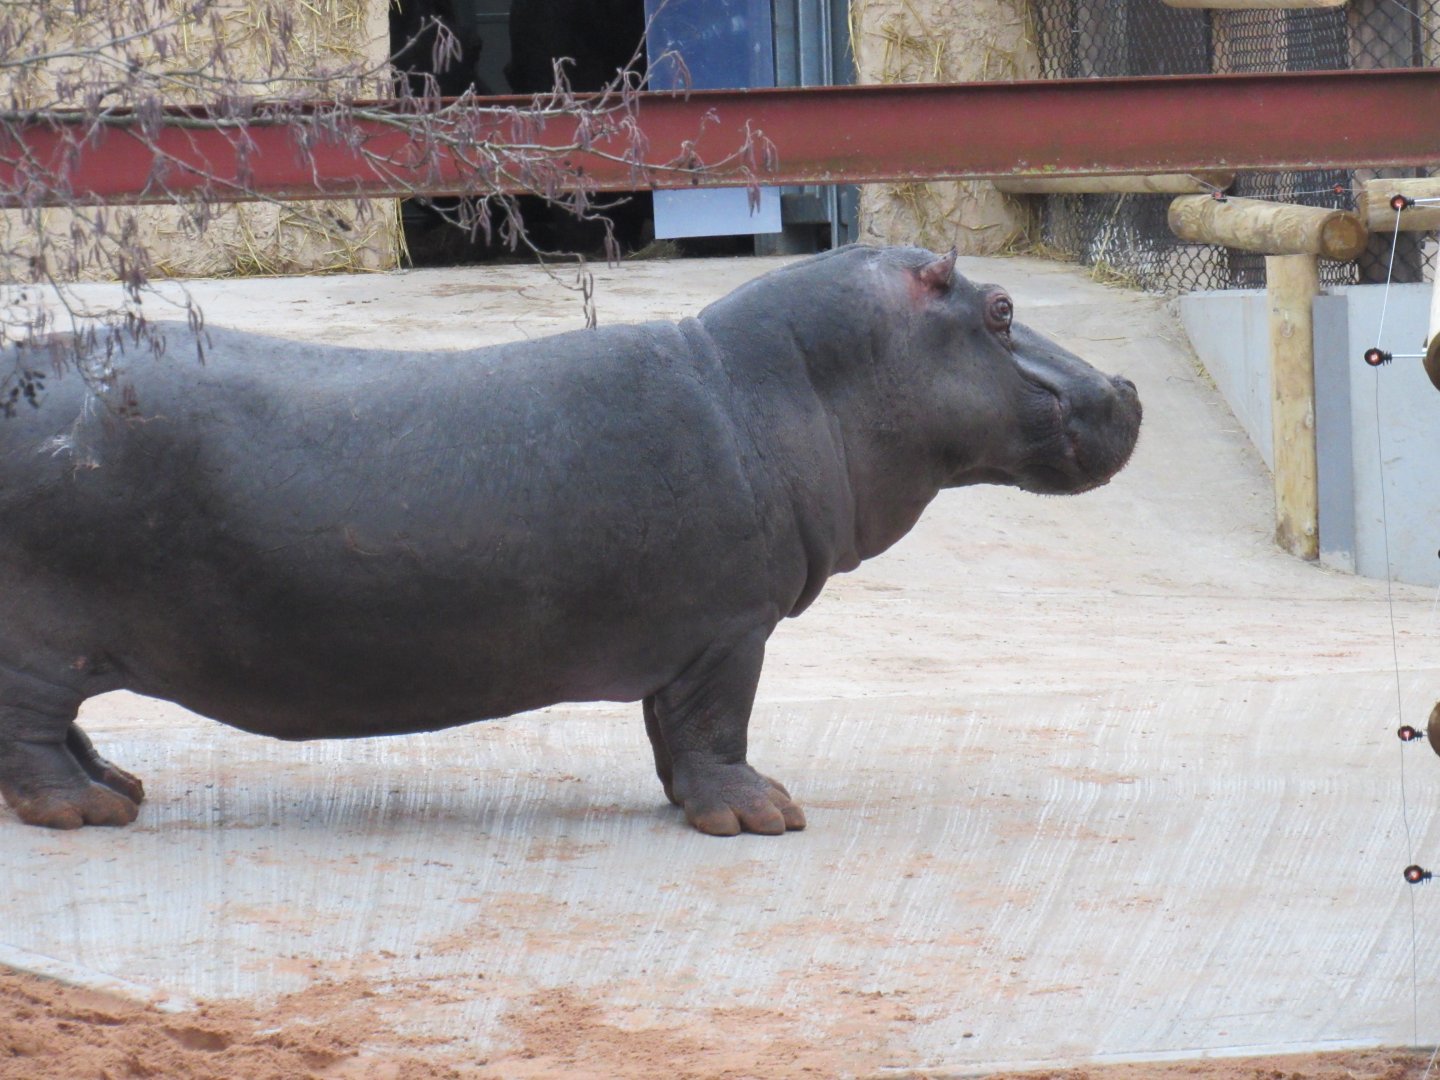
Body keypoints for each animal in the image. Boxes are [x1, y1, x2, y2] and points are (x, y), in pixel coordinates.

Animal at [0, 245, 1140, 835]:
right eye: (1000, 309)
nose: (1126, 389)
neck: (790, 382)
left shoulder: (688, 642)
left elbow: (672, 732)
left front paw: (700, 805)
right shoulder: (733, 630)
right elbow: (720, 727)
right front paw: (764, 815)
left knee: (59, 731)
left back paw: (120, 787)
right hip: (42, 644)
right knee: (31, 734)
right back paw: (83, 811)